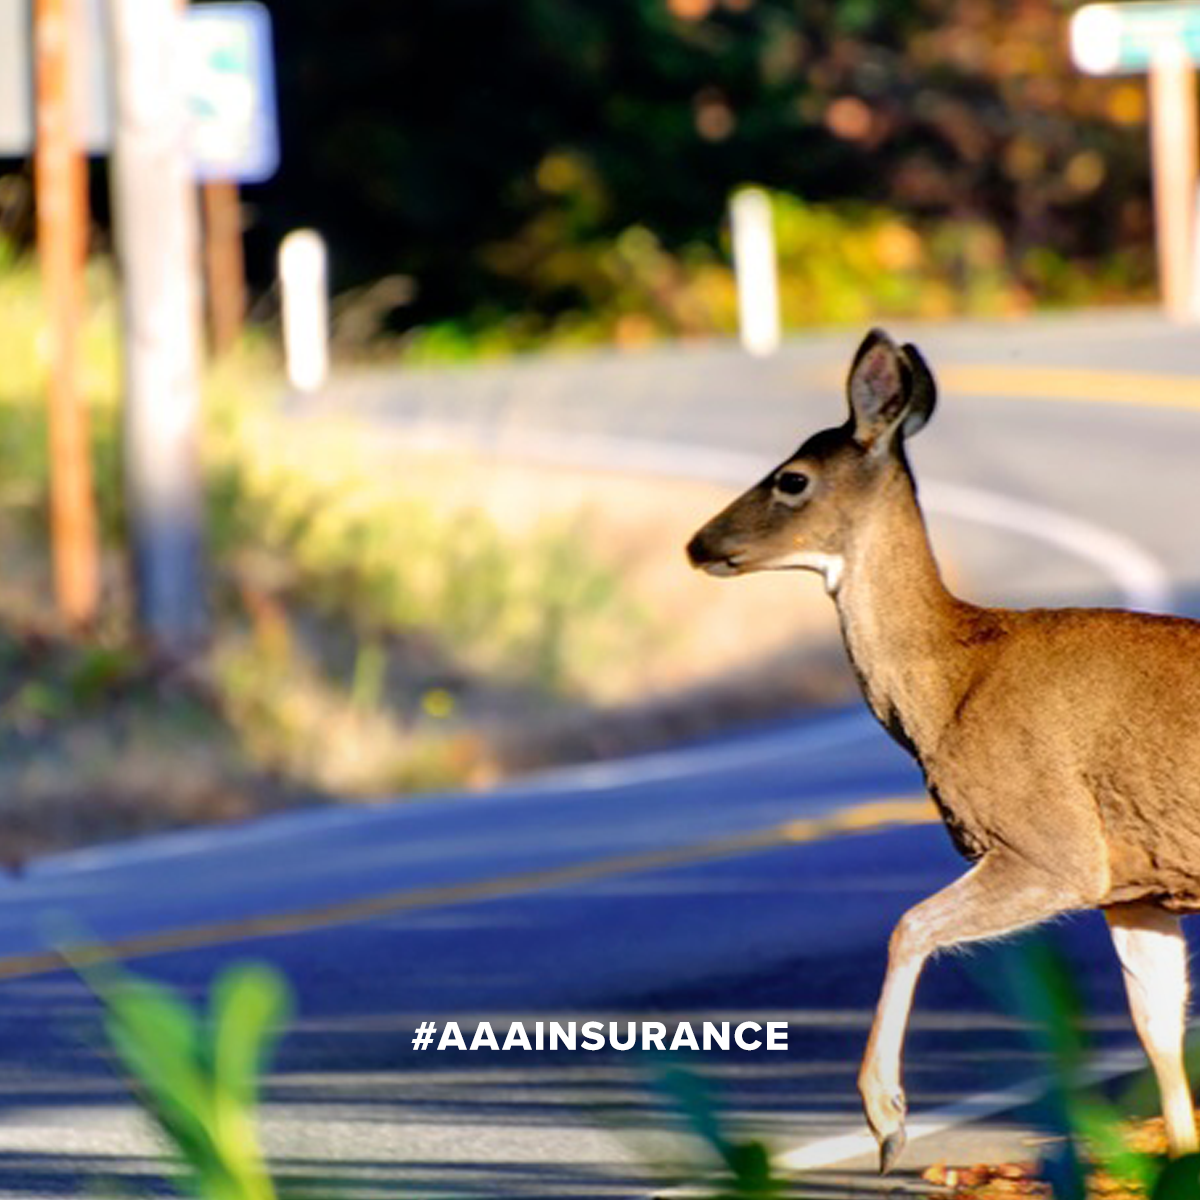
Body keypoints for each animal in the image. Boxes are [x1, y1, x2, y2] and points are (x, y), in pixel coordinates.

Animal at [686, 328, 1200, 1174]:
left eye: (792, 478)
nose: (699, 543)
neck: (951, 681)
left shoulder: (1052, 845)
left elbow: (910, 925)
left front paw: (886, 1118)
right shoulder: (1137, 882)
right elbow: (1156, 1023)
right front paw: (1179, 1157)